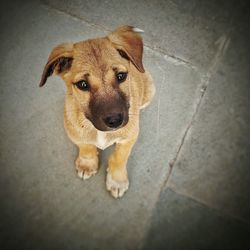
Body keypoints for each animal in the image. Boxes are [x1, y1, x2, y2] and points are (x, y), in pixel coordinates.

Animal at [40, 24, 155, 197]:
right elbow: (85, 146)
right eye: (82, 84)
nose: (115, 121)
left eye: (121, 76)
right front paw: (87, 164)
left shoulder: (128, 138)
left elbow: (120, 157)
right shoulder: (74, 131)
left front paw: (117, 180)